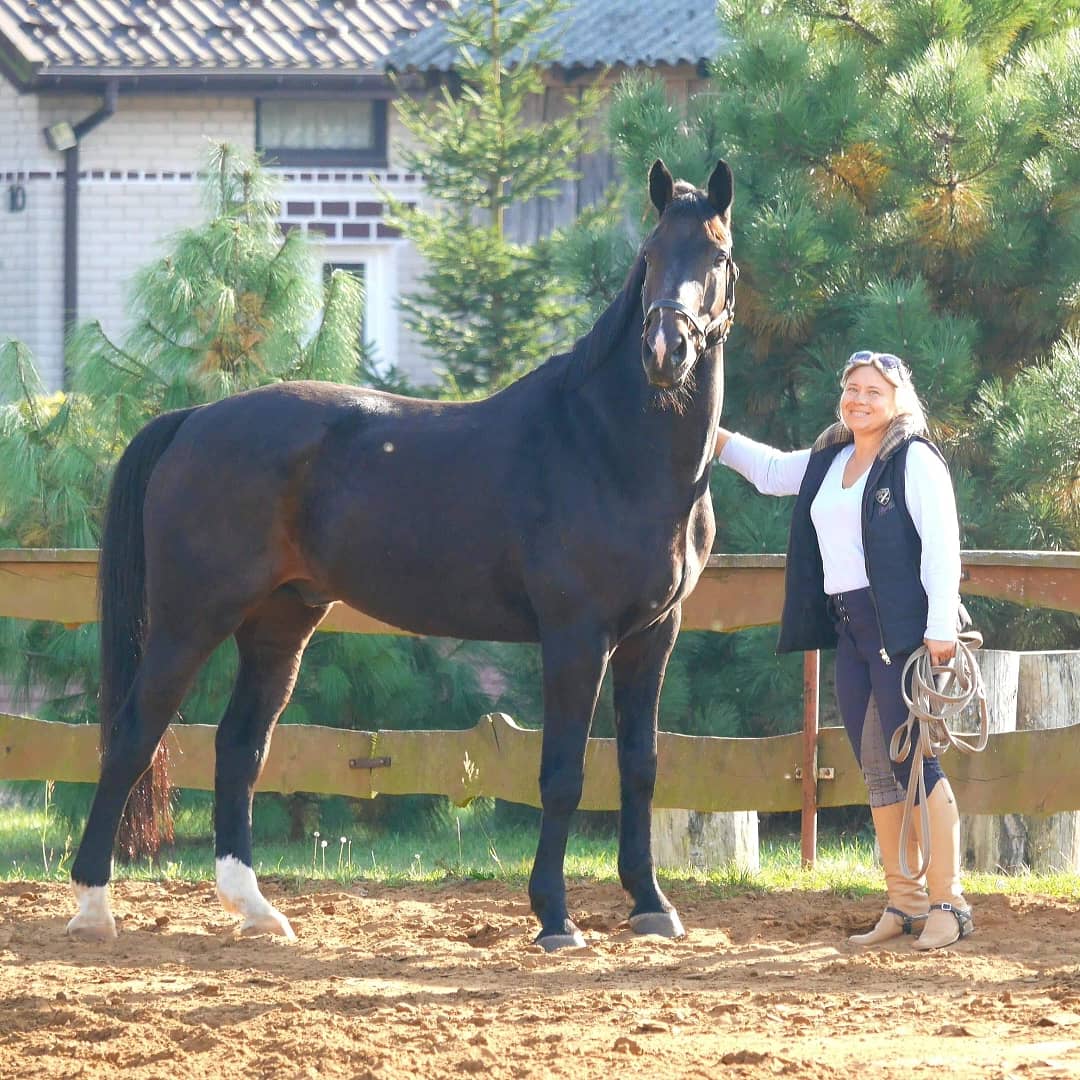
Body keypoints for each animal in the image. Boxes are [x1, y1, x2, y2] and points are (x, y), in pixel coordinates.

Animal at [66, 158, 738, 951]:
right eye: (650, 257)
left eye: (717, 256)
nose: (666, 352)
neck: (608, 447)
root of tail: (195, 418)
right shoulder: (576, 638)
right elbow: (564, 773)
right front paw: (554, 917)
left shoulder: (652, 636)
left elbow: (640, 767)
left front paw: (652, 907)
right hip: (188, 621)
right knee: (133, 738)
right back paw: (93, 907)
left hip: (279, 625)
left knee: (239, 748)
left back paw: (256, 909)